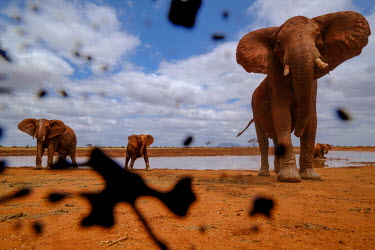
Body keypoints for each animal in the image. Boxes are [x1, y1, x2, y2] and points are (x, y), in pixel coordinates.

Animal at [236, 11, 372, 182]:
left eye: (318, 36)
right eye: (279, 42)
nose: (297, 132)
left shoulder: (313, 85)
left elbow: (312, 119)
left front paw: (311, 177)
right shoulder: (276, 80)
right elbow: (282, 115)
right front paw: (290, 179)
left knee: (275, 139)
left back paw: (277, 172)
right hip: (255, 110)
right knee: (263, 141)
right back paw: (265, 174)